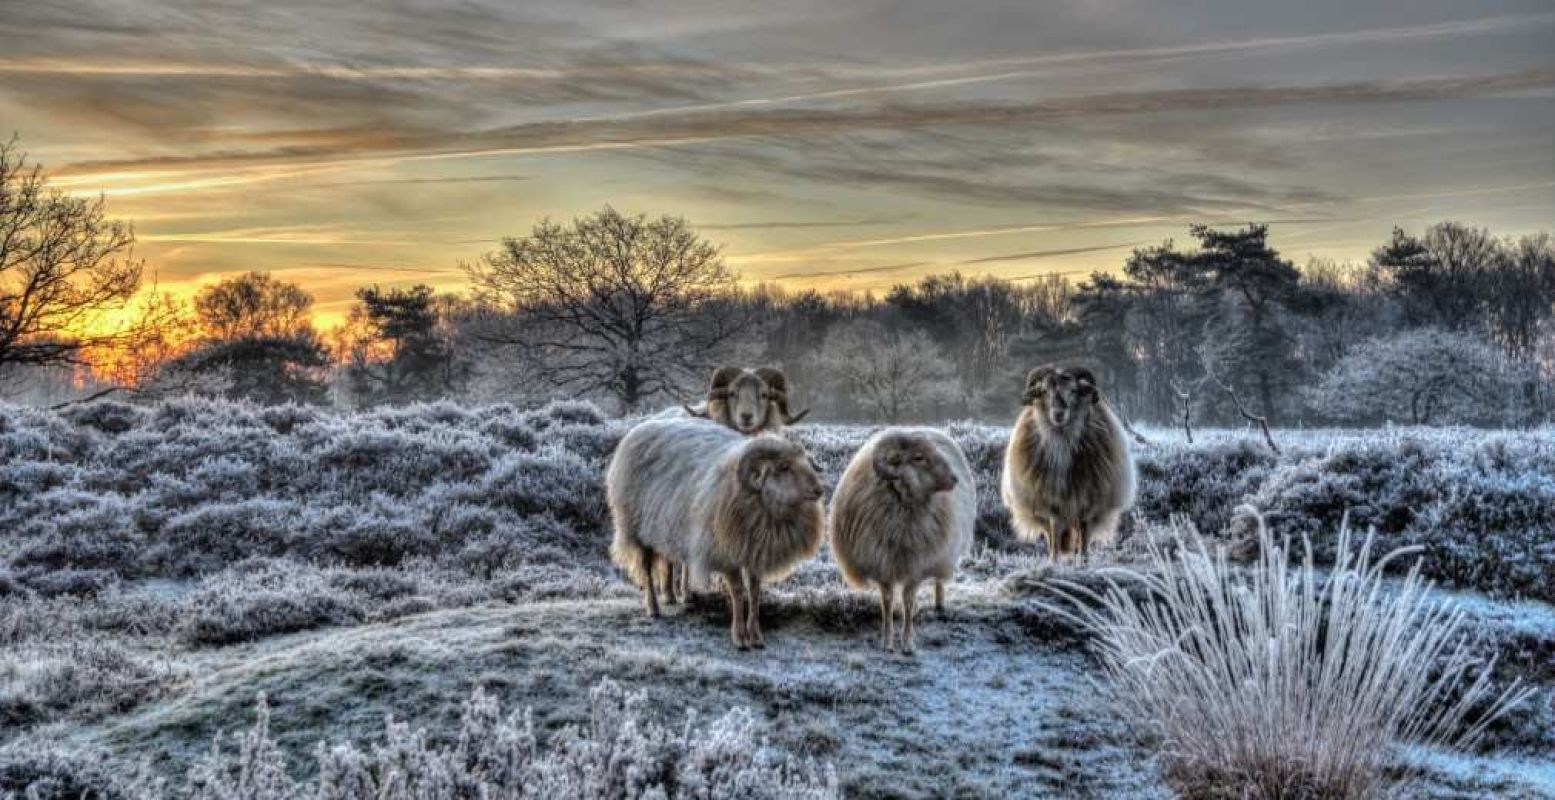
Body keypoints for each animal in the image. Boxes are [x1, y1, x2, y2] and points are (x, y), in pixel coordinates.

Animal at [606, 417, 827, 647]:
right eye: (784, 467)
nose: (819, 490)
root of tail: (641, 427)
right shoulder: (726, 554)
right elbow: (738, 592)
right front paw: (740, 637)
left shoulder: (753, 551)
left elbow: (755, 592)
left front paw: (756, 636)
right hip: (637, 529)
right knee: (647, 570)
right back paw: (653, 608)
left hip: (668, 526)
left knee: (672, 562)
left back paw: (675, 595)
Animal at [827, 426, 970, 650]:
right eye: (918, 457)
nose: (954, 479)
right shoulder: (882, 564)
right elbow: (886, 602)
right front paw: (887, 641)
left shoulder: (916, 566)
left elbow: (908, 602)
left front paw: (907, 643)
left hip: (943, 552)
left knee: (939, 581)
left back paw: (939, 606)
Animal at [1001, 362, 1138, 560]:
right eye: (1044, 390)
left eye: (1073, 390)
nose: (1059, 413)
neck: (1062, 443)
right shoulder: (1051, 500)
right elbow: (1054, 529)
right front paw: (1053, 561)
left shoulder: (1087, 500)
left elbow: (1083, 531)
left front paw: (1083, 560)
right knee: (1052, 534)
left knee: (1080, 532)